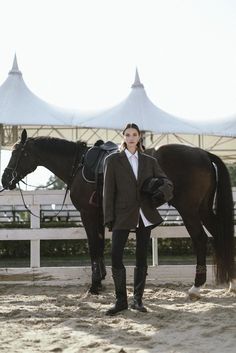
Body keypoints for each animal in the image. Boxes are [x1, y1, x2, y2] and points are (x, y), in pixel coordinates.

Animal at [1, 131, 236, 296]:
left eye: (16, 153)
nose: (5, 180)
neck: (78, 165)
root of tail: (203, 153)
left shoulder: (87, 214)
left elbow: (93, 247)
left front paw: (94, 286)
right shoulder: (98, 214)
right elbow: (98, 246)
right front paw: (101, 281)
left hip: (189, 211)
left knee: (201, 239)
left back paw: (197, 287)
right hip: (203, 209)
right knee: (221, 235)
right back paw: (231, 282)